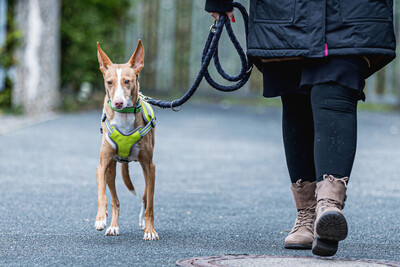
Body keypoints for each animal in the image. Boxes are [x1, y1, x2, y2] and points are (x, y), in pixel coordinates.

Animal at [95, 40, 159, 241]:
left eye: (127, 81)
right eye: (109, 82)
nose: (117, 103)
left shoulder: (150, 166)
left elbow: (150, 204)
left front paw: (150, 230)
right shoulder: (102, 165)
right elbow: (103, 196)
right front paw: (100, 219)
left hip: (146, 171)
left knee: (145, 197)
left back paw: (143, 224)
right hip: (111, 170)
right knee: (115, 200)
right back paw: (113, 226)